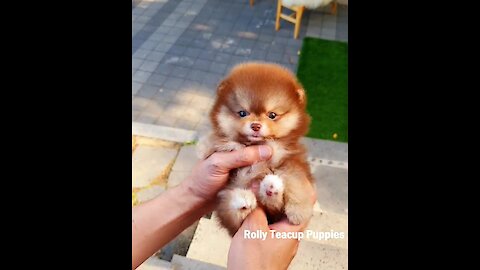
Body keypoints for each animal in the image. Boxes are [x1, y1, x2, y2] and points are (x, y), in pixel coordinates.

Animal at [196, 61, 316, 236]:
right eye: (242, 113)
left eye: (272, 115)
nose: (255, 125)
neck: (257, 144)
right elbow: (220, 141)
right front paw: (206, 145)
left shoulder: (291, 159)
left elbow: (296, 182)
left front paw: (298, 212)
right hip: (226, 198)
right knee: (233, 217)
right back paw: (244, 201)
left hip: (271, 209)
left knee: (273, 205)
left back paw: (271, 189)